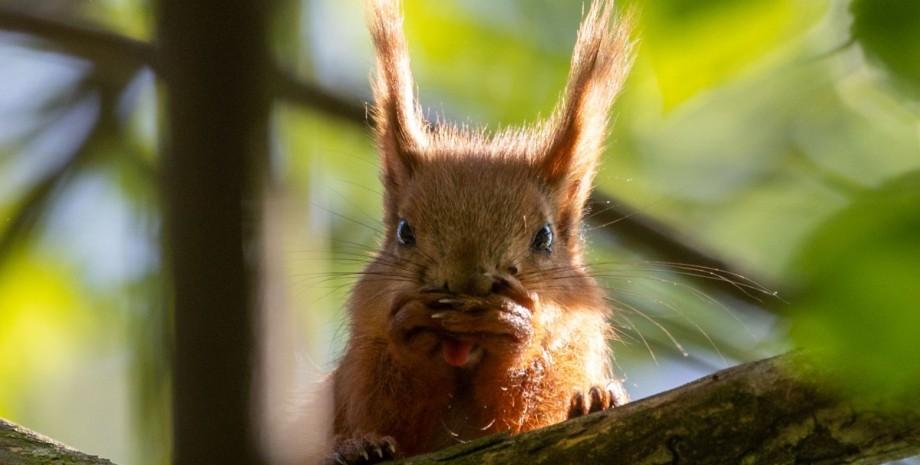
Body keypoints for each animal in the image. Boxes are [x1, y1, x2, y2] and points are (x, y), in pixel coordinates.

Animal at [308, 1, 632, 462]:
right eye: (404, 232)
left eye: (545, 237)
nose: (465, 282)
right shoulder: (361, 365)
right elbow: (384, 410)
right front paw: (411, 328)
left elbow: (527, 411)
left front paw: (514, 327)